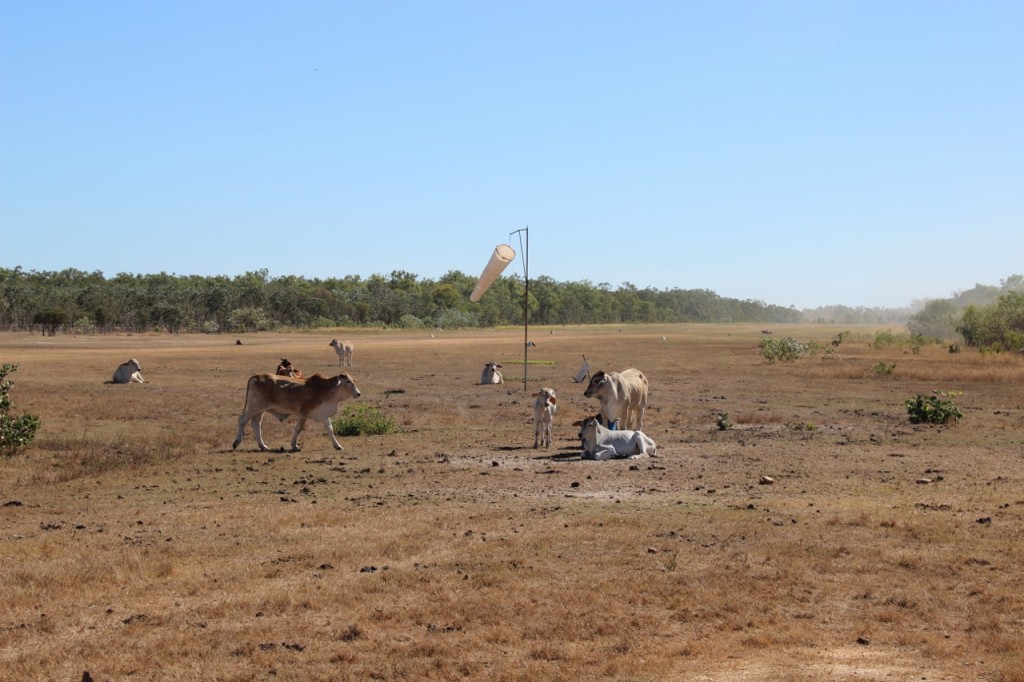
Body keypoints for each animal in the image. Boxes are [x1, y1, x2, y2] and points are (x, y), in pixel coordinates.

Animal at [231, 372, 360, 450]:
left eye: (353, 380)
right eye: (347, 381)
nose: (358, 393)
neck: (326, 389)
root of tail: (257, 377)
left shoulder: (323, 415)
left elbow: (330, 430)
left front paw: (337, 446)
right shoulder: (304, 413)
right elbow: (298, 428)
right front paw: (294, 445)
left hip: (260, 410)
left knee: (256, 424)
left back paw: (263, 446)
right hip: (255, 407)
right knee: (242, 420)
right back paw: (236, 442)